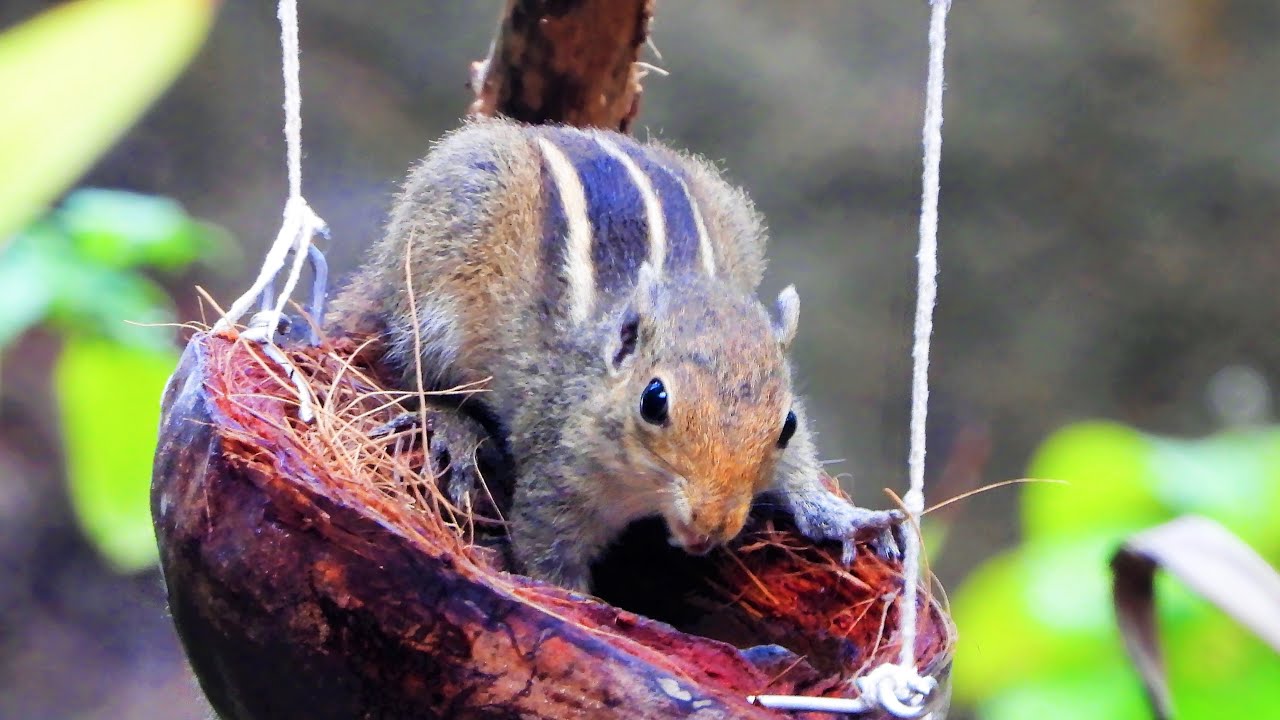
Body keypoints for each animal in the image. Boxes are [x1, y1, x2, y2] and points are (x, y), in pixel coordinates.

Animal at [329, 118, 901, 593]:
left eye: (787, 424)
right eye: (654, 401)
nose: (711, 526)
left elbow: (801, 469)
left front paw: (843, 516)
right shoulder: (556, 473)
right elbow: (547, 553)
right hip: (434, 280)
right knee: (414, 371)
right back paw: (454, 428)